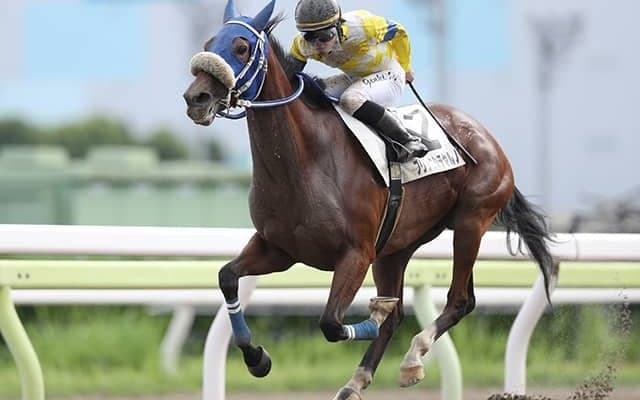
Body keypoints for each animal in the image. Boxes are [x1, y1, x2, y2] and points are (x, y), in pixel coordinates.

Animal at [183, 1, 554, 398]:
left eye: (242, 48)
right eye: (208, 44)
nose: (196, 98)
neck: (304, 161)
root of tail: (486, 138)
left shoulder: (356, 254)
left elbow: (331, 323)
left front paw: (373, 317)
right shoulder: (277, 249)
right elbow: (227, 277)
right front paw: (257, 358)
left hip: (471, 222)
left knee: (458, 300)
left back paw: (412, 356)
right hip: (396, 248)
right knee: (418, 307)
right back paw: (357, 380)